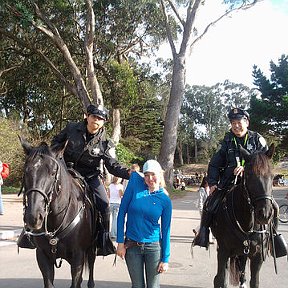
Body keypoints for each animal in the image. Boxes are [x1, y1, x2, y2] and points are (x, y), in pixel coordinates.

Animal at [18, 138, 97, 288]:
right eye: (26, 171)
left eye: (53, 172)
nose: (33, 217)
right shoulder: (43, 256)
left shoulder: (78, 257)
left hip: (91, 249)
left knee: (91, 266)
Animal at [212, 145, 274, 288]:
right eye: (249, 174)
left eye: (272, 175)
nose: (265, 214)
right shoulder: (223, 251)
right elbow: (220, 279)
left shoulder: (257, 256)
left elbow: (254, 282)